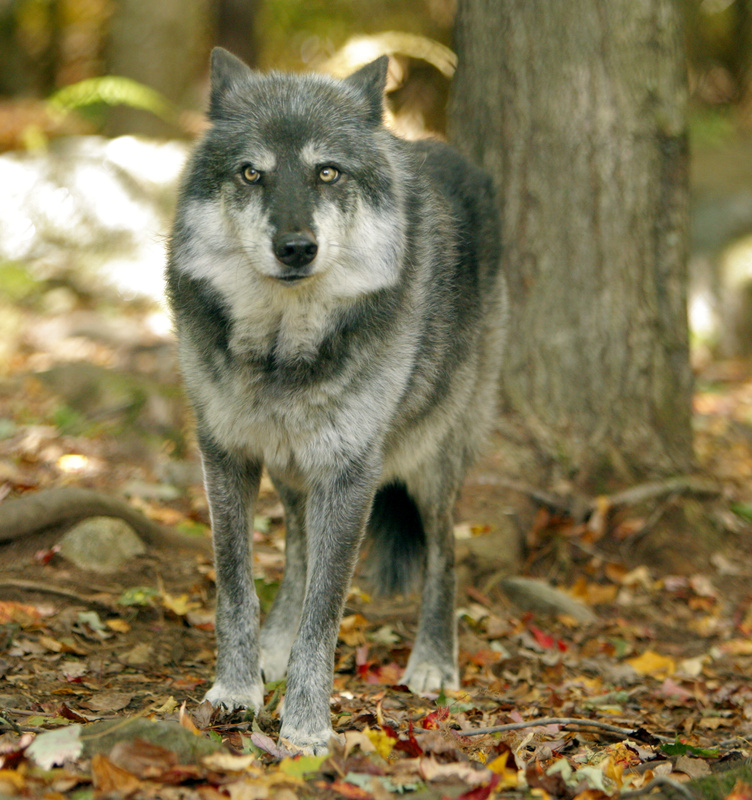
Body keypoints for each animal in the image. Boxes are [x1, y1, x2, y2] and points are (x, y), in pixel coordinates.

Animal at [166, 47, 506, 754]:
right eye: (252, 173)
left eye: (328, 172)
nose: (297, 247)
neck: (281, 354)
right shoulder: (225, 455)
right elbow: (236, 587)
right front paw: (237, 689)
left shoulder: (351, 473)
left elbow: (326, 612)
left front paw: (304, 727)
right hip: (294, 469)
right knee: (297, 547)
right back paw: (273, 645)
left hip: (431, 460)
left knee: (445, 551)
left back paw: (434, 661)